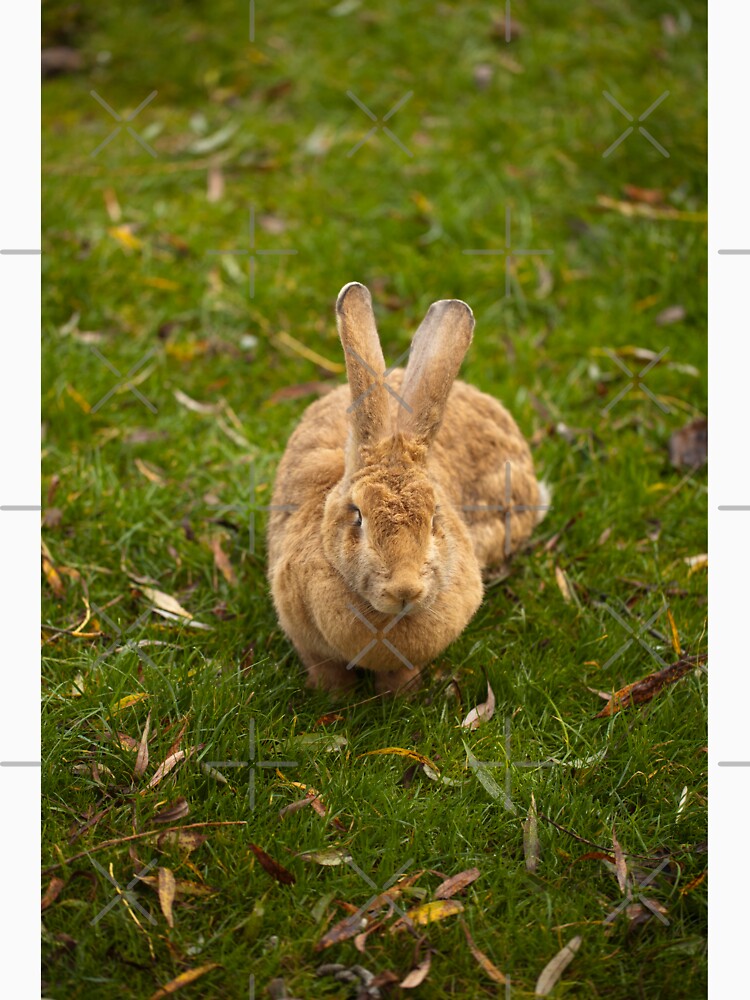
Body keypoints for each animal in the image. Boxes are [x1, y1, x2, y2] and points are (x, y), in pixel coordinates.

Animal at [266, 282, 549, 695]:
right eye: (358, 516)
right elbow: (325, 668)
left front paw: (403, 694)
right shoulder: (305, 638)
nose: (405, 590)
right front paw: (332, 696)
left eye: (434, 519)